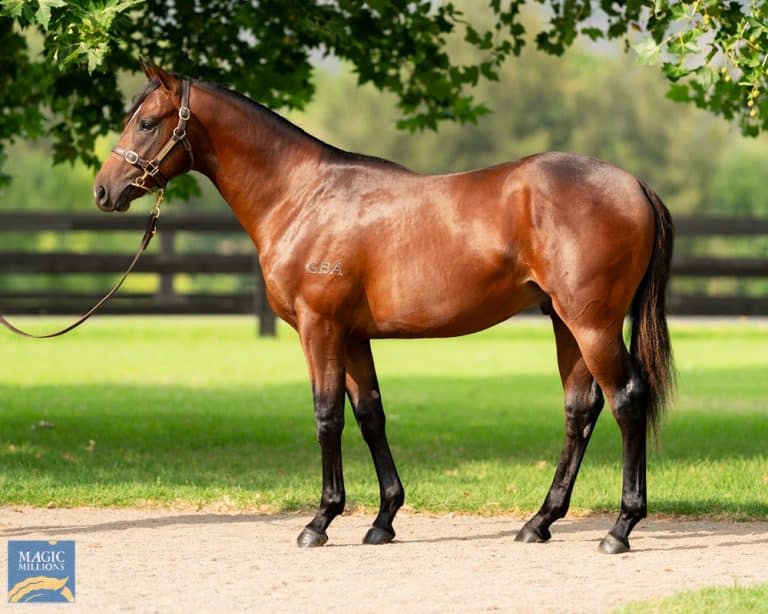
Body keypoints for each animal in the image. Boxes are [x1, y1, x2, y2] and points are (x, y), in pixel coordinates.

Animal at [93, 62, 674, 554]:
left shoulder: (319, 328)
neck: (303, 196)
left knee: (626, 400)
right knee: (581, 409)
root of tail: (634, 185)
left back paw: (620, 529)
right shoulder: (352, 336)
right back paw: (540, 522)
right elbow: (370, 415)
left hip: (592, 324)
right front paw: (383, 520)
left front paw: (320, 522)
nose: (104, 191)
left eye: (146, 123)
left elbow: (327, 416)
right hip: (565, 323)